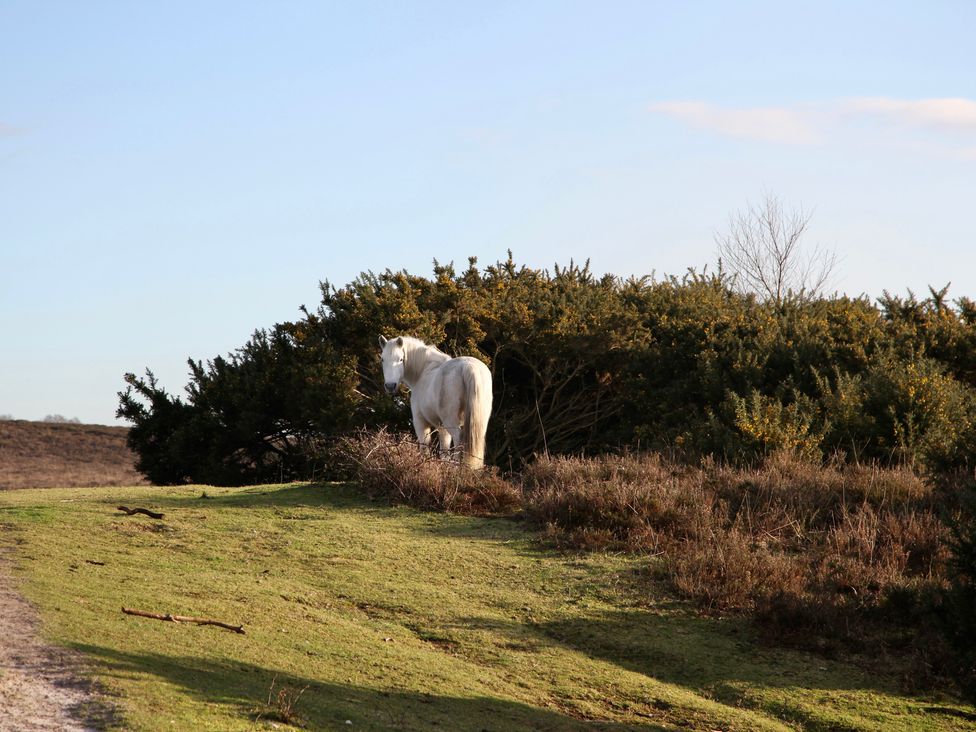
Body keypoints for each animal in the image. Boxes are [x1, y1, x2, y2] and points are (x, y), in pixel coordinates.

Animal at [378, 336, 492, 468]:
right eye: (382, 359)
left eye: (401, 359)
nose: (390, 386)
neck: (423, 372)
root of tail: (468, 367)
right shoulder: (441, 428)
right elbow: (444, 452)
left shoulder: (421, 423)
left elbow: (425, 448)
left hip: (450, 420)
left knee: (459, 438)